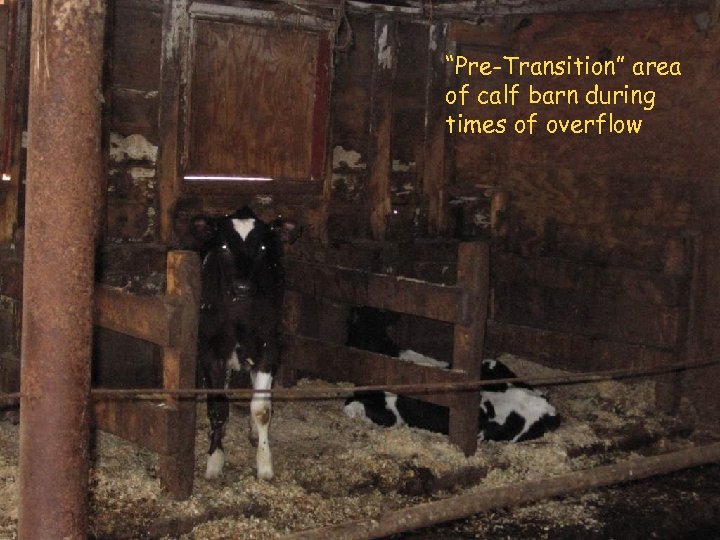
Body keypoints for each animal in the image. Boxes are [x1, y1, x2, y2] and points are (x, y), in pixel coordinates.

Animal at [187, 206, 299, 480]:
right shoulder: (209, 351)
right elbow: (217, 407)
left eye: (262, 248)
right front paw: (215, 459)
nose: (242, 286)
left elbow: (261, 409)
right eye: (224, 246)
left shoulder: (269, 348)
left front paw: (265, 464)